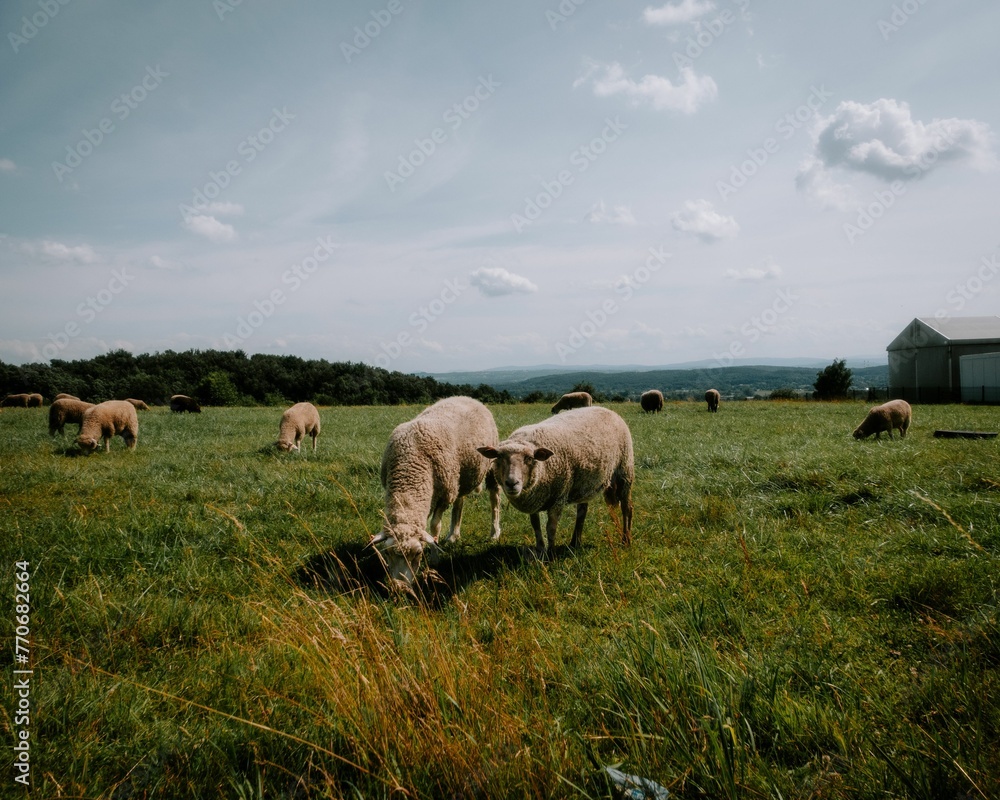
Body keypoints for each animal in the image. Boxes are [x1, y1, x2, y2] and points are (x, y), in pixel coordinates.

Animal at [370, 396, 500, 588]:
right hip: (459, 477)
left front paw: (435, 558)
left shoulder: (443, 496)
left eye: (418, 554)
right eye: (387, 553)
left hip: (489, 464)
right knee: (460, 502)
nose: (400, 587)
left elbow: (434, 526)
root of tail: (466, 397)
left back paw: (494, 533)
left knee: (494, 498)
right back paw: (453, 535)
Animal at [476, 404, 632, 560]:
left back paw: (626, 540)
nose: (511, 483)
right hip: (584, 484)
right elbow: (536, 525)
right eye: (498, 457)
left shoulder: (559, 497)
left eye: (529, 458)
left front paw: (551, 555)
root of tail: (606, 409)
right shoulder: (534, 499)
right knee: (582, 511)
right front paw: (540, 549)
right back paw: (575, 542)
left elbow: (551, 528)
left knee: (627, 508)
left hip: (624, 470)